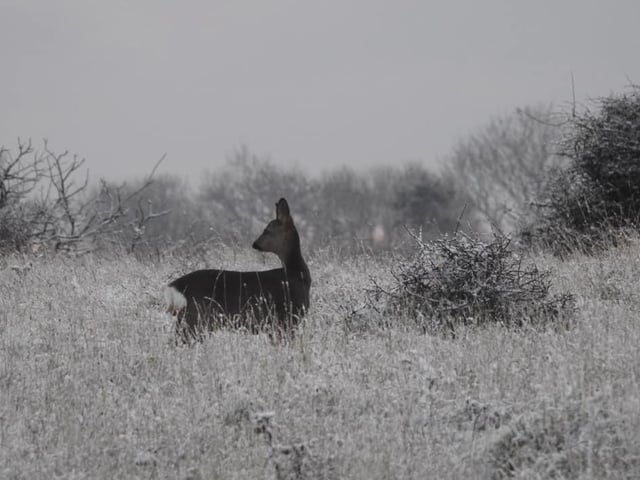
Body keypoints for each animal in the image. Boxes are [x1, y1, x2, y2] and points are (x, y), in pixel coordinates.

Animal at [164, 198, 311, 342]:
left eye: (267, 230)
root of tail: (175, 287)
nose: (255, 244)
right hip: (196, 318)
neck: (297, 273)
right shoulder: (286, 318)